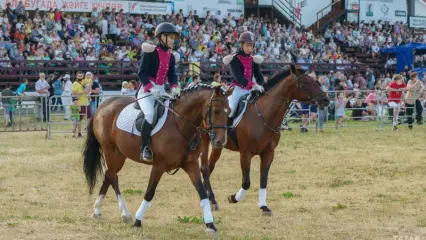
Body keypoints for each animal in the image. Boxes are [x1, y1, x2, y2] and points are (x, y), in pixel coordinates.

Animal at [82, 83, 230, 237]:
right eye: (216, 111)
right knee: (112, 176)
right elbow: (149, 192)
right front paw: (138, 222)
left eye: (229, 112)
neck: (180, 124)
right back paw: (125, 213)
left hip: (120, 153)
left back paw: (99, 210)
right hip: (109, 150)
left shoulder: (191, 165)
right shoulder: (159, 166)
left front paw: (210, 225)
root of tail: (103, 105)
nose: (220, 141)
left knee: (109, 175)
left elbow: (202, 193)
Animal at [200, 63, 330, 214]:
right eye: (306, 82)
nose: (326, 100)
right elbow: (246, 182)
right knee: (206, 168)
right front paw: (233, 198)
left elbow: (263, 180)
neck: (263, 115)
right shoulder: (245, 154)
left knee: (209, 168)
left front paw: (264, 207)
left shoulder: (268, 153)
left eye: (316, 81)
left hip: (218, 145)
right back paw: (212, 201)